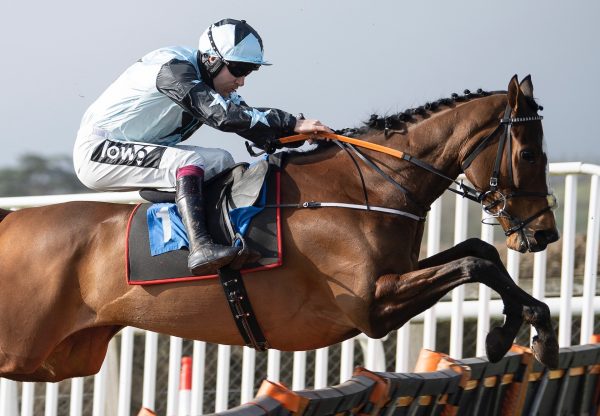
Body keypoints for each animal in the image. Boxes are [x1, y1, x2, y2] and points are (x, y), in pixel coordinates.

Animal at [0, 75, 560, 380]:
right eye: (529, 154)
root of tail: (13, 221)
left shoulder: (394, 278)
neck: (364, 189)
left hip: (62, 358)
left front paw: (521, 329)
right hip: (22, 345)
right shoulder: (372, 305)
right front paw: (521, 331)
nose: (545, 234)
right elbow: (472, 263)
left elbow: (478, 252)